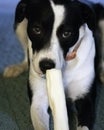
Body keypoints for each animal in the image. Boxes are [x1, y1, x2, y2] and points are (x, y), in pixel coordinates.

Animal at [3, 0, 104, 130]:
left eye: (67, 33)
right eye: (36, 29)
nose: (46, 65)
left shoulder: (85, 98)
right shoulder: (38, 100)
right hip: (20, 25)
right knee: (26, 54)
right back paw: (17, 67)